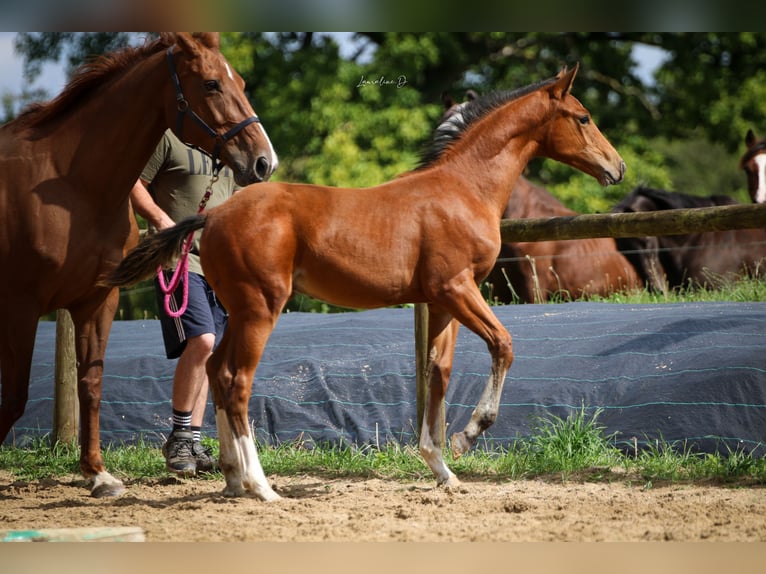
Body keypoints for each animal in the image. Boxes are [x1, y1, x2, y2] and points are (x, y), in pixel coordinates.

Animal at [0, 32, 280, 500]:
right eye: (210, 84)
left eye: (239, 81)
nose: (264, 161)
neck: (73, 186)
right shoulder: (20, 307)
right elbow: (15, 396)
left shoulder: (97, 301)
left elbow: (91, 385)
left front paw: (97, 474)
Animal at [105, 65, 628, 502]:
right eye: (583, 117)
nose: (617, 168)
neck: (462, 189)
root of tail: (211, 216)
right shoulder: (458, 289)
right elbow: (503, 344)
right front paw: (469, 434)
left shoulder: (441, 301)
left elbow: (437, 371)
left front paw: (442, 468)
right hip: (260, 308)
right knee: (236, 381)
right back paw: (262, 486)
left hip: (236, 309)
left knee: (215, 370)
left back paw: (234, 479)